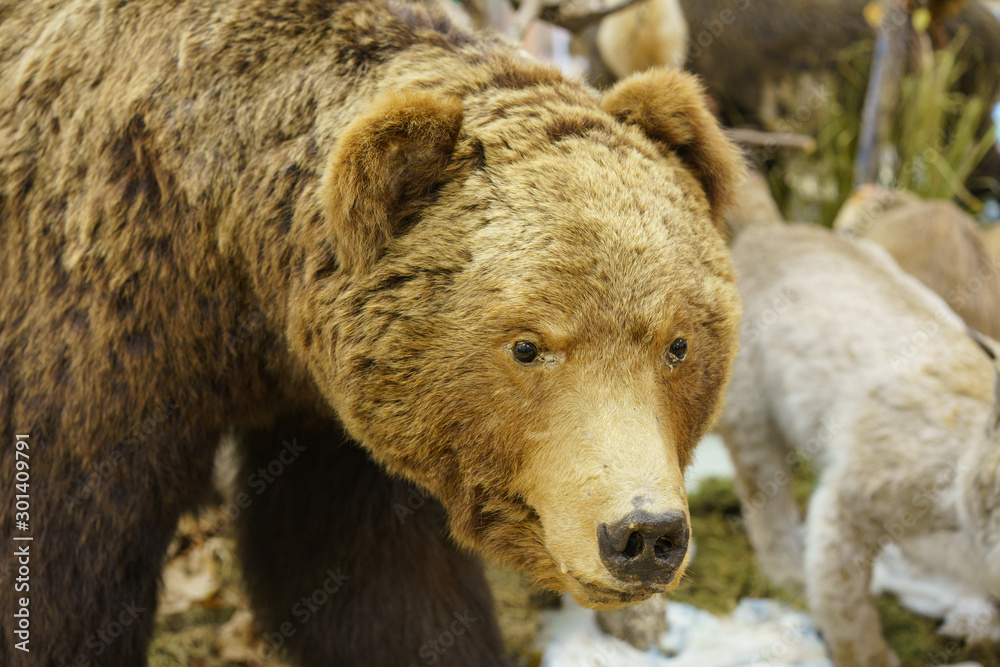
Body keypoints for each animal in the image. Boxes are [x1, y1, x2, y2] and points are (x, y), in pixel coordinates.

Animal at [0, 0, 744, 665]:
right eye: (528, 345)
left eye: (679, 344)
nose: (643, 533)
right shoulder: (102, 326)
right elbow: (66, 562)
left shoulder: (337, 421)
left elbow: (375, 581)